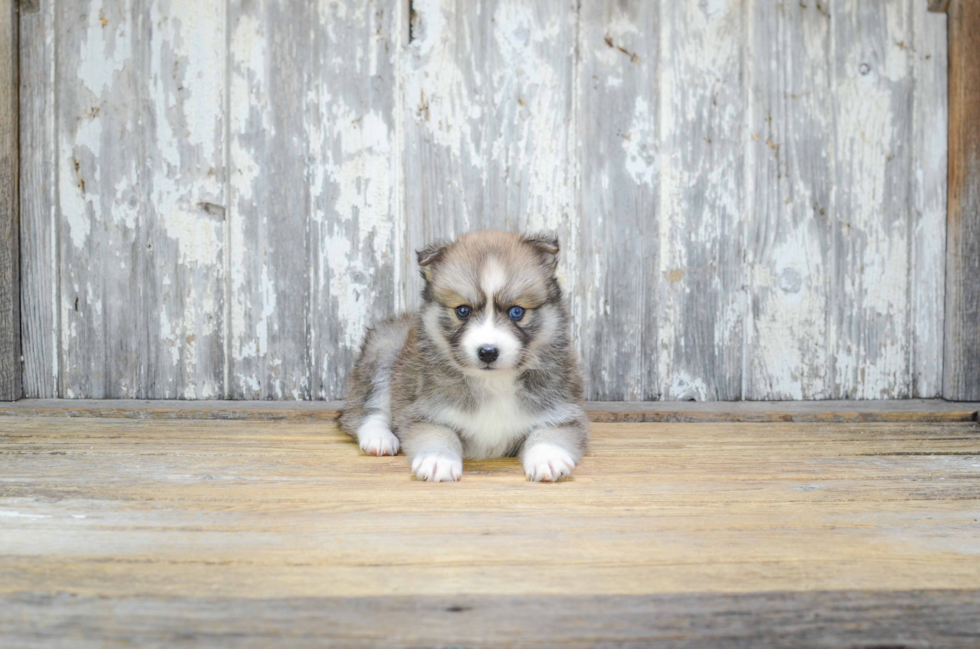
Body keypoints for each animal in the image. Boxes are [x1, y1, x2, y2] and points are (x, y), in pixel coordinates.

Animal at [340, 229, 584, 480]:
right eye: (463, 310)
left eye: (516, 312)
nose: (488, 352)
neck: (493, 383)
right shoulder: (424, 412)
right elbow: (439, 433)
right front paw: (438, 459)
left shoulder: (563, 412)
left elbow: (547, 432)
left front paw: (548, 457)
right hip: (384, 348)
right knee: (364, 410)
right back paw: (379, 438)